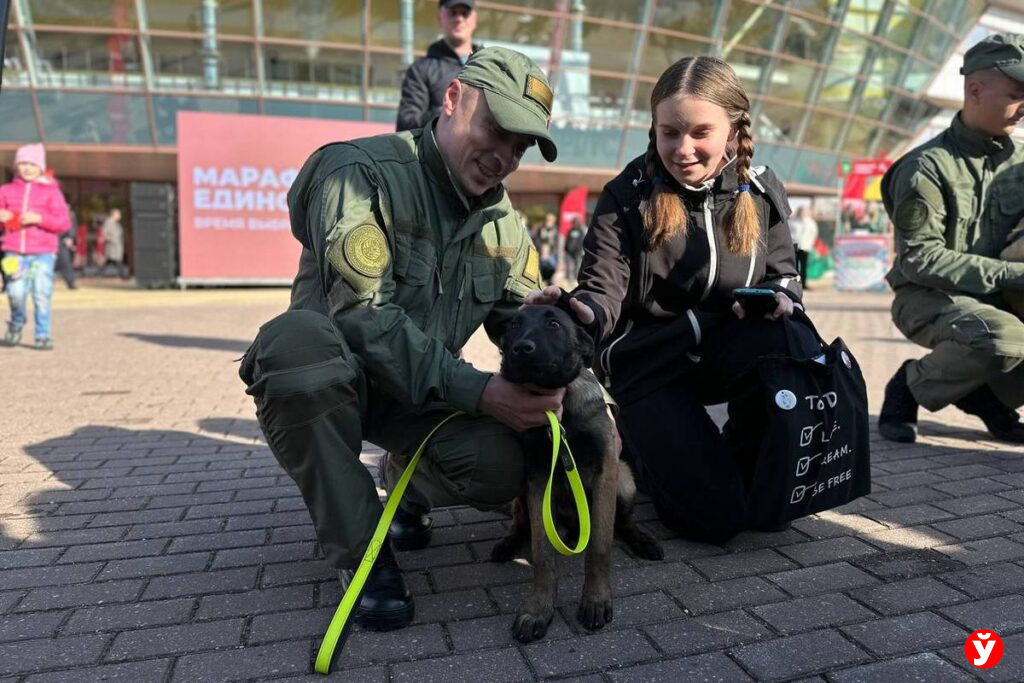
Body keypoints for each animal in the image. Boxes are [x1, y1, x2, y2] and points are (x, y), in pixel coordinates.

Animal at [489, 301, 663, 643]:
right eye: (514, 325)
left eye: (554, 325)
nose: (520, 349)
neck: (561, 406)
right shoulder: (538, 479)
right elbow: (542, 554)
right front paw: (538, 609)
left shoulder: (606, 470)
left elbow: (599, 546)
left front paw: (595, 599)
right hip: (522, 492)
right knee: (520, 524)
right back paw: (507, 542)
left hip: (625, 480)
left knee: (623, 523)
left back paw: (642, 539)